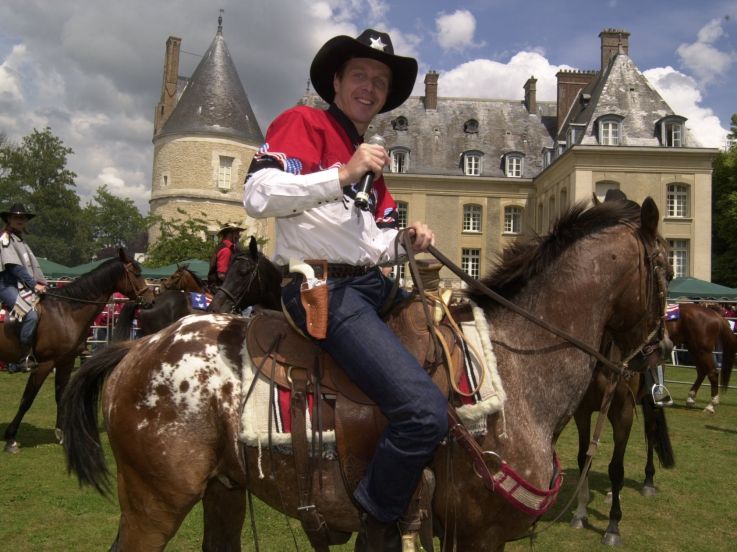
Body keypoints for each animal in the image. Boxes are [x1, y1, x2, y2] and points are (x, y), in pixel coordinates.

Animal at [1, 249, 153, 453]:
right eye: (136, 273)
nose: (151, 299)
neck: (65, 312)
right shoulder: (44, 364)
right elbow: (27, 399)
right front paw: (10, 438)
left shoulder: (65, 361)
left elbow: (60, 396)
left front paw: (62, 433)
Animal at [61, 198, 670, 550]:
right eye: (666, 264)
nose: (657, 353)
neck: (513, 369)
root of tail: (136, 349)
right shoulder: (479, 534)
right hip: (155, 503)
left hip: (224, 492)